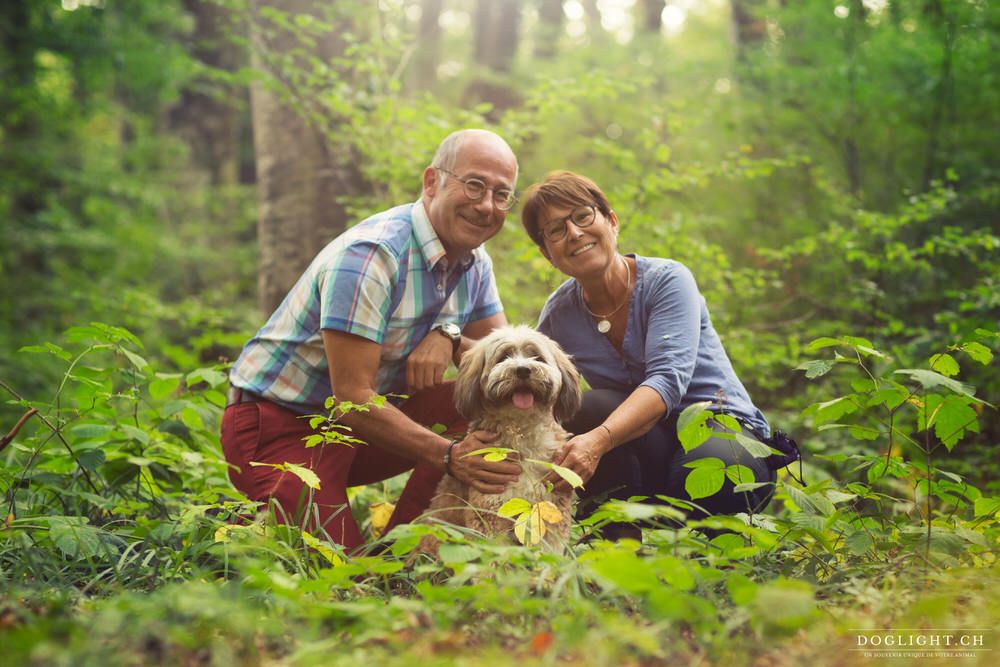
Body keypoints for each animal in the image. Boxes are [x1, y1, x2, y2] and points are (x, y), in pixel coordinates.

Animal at [416, 328, 584, 552]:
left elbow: (547, 551)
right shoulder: (491, 512)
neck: (522, 433)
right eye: (504, 357)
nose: (523, 370)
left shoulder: (551, 511)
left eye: (536, 357)